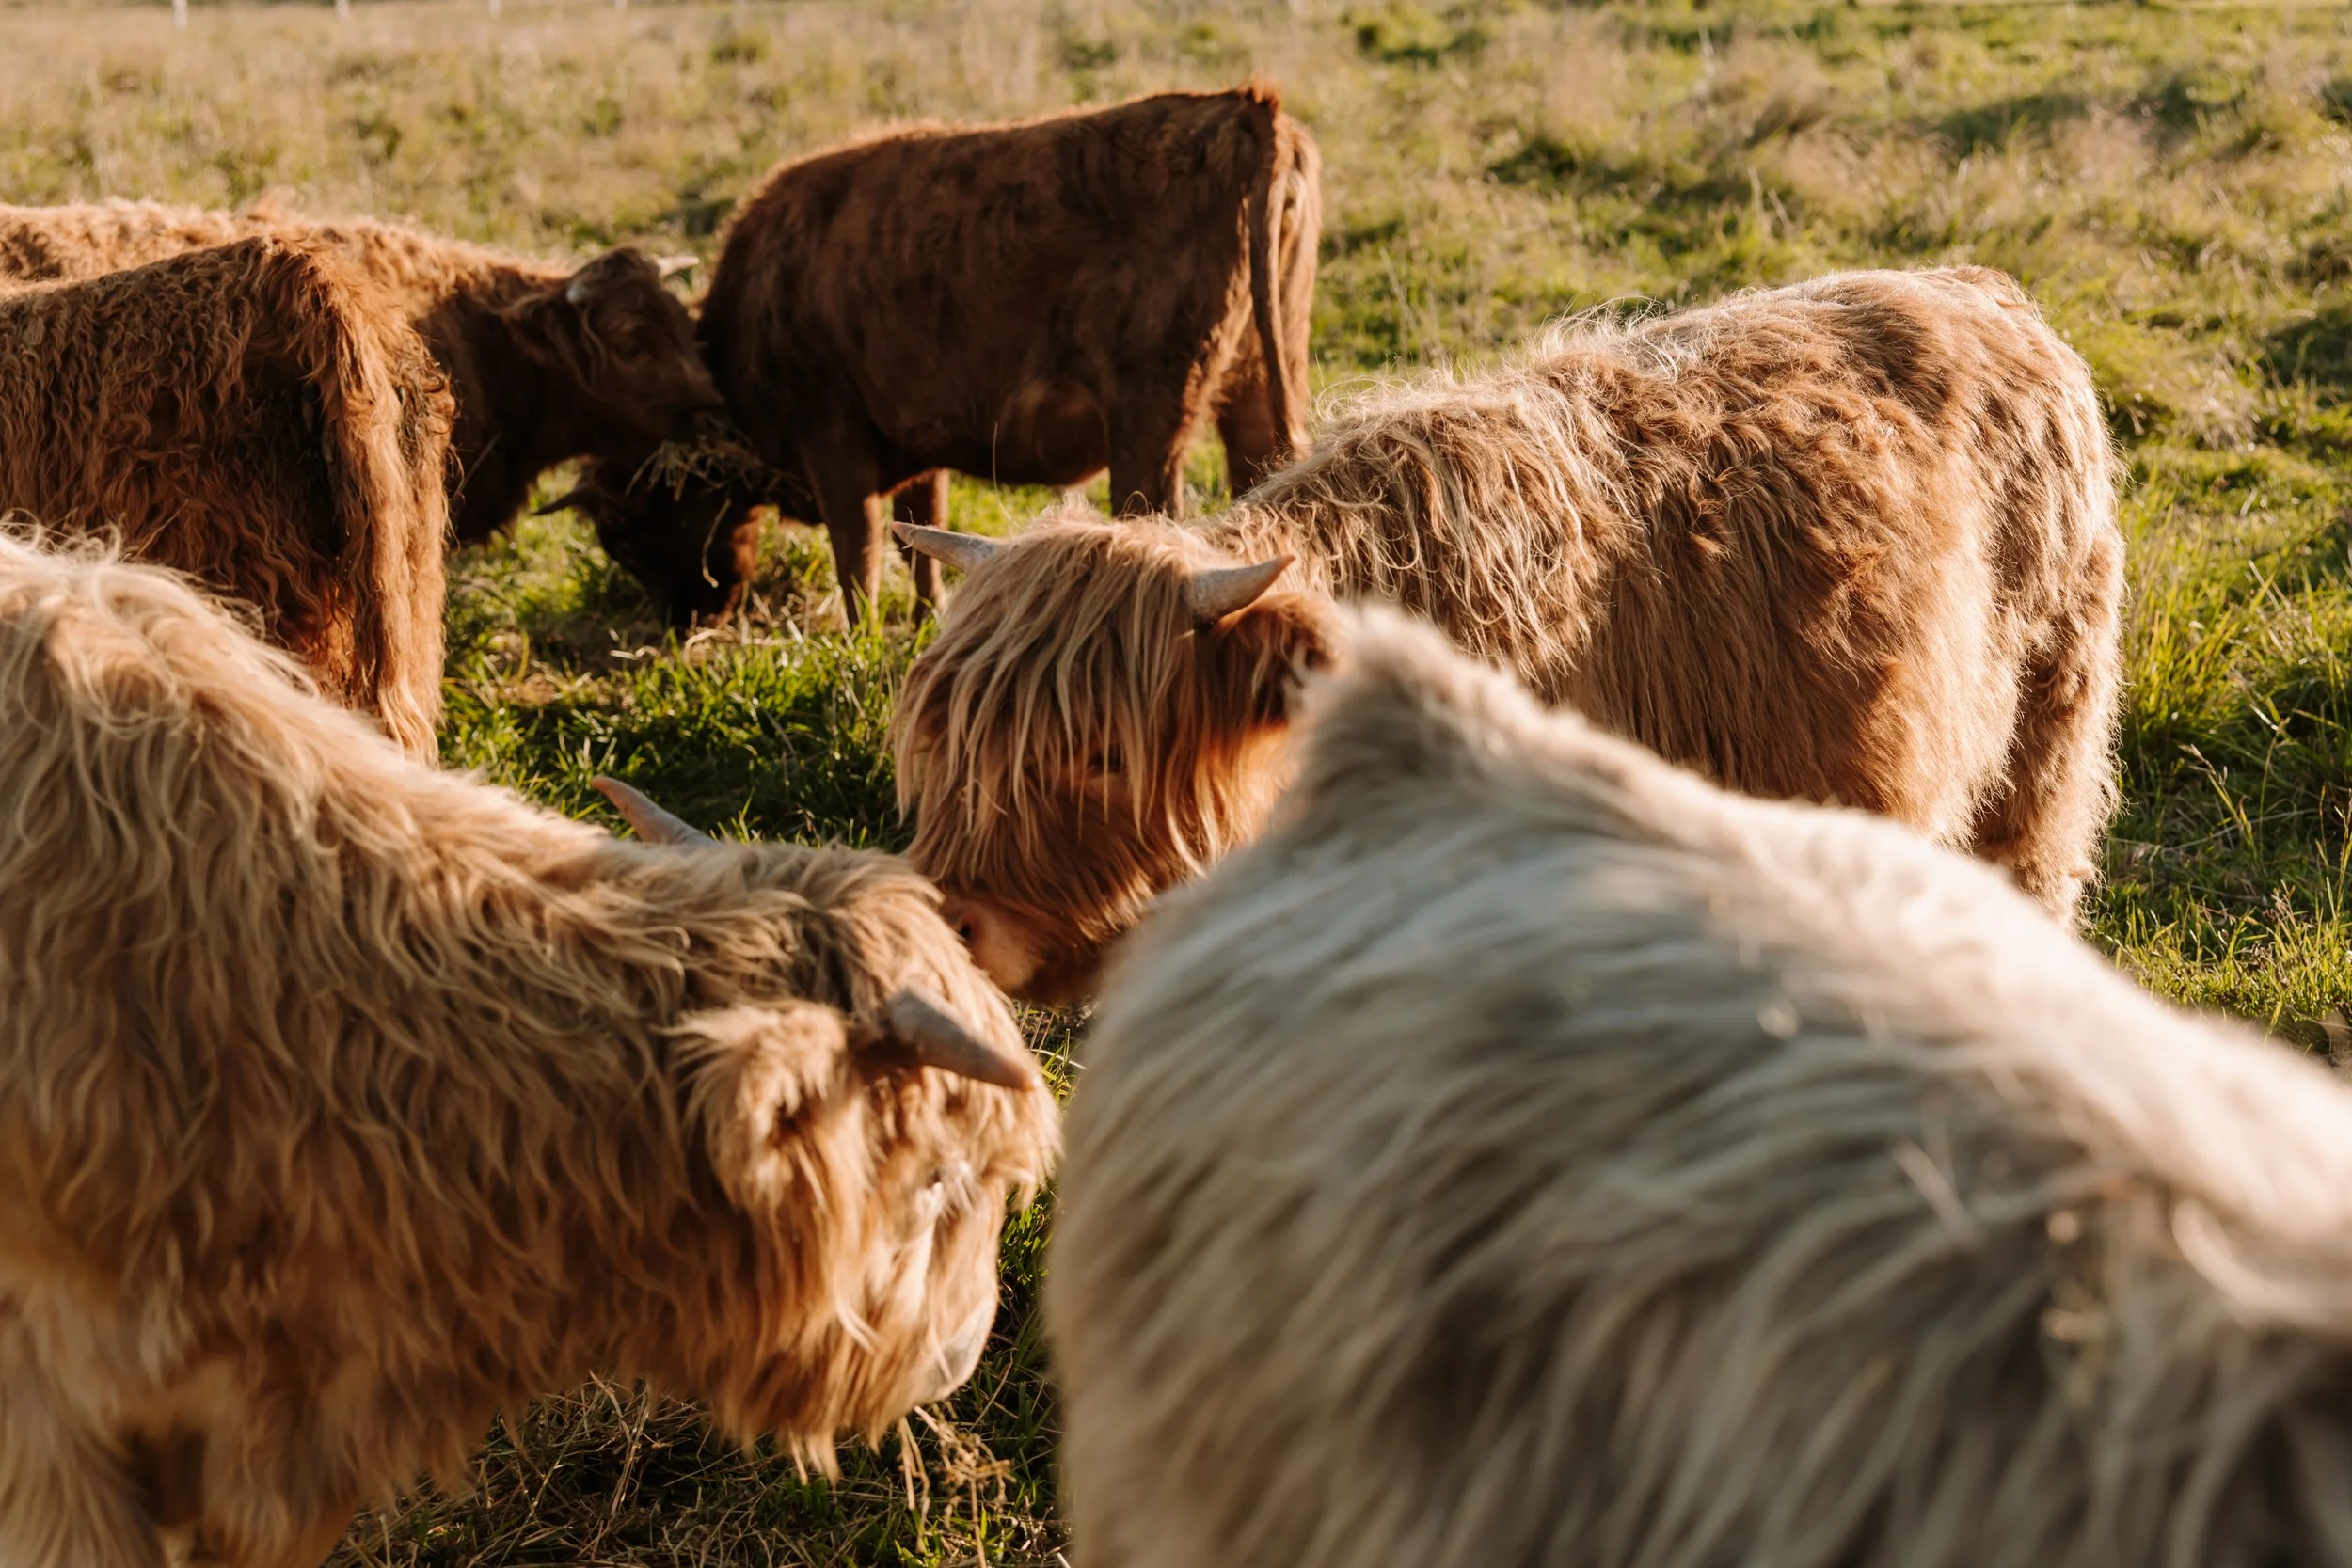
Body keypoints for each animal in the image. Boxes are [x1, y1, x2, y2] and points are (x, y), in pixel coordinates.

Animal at [570, 81, 1321, 624]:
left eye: (624, 530)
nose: (683, 621)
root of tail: (1245, 110)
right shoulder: (917, 454)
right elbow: (921, 544)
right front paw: (927, 621)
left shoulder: (834, 447)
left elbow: (860, 558)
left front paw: (863, 642)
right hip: (1255, 386)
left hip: (1150, 429)